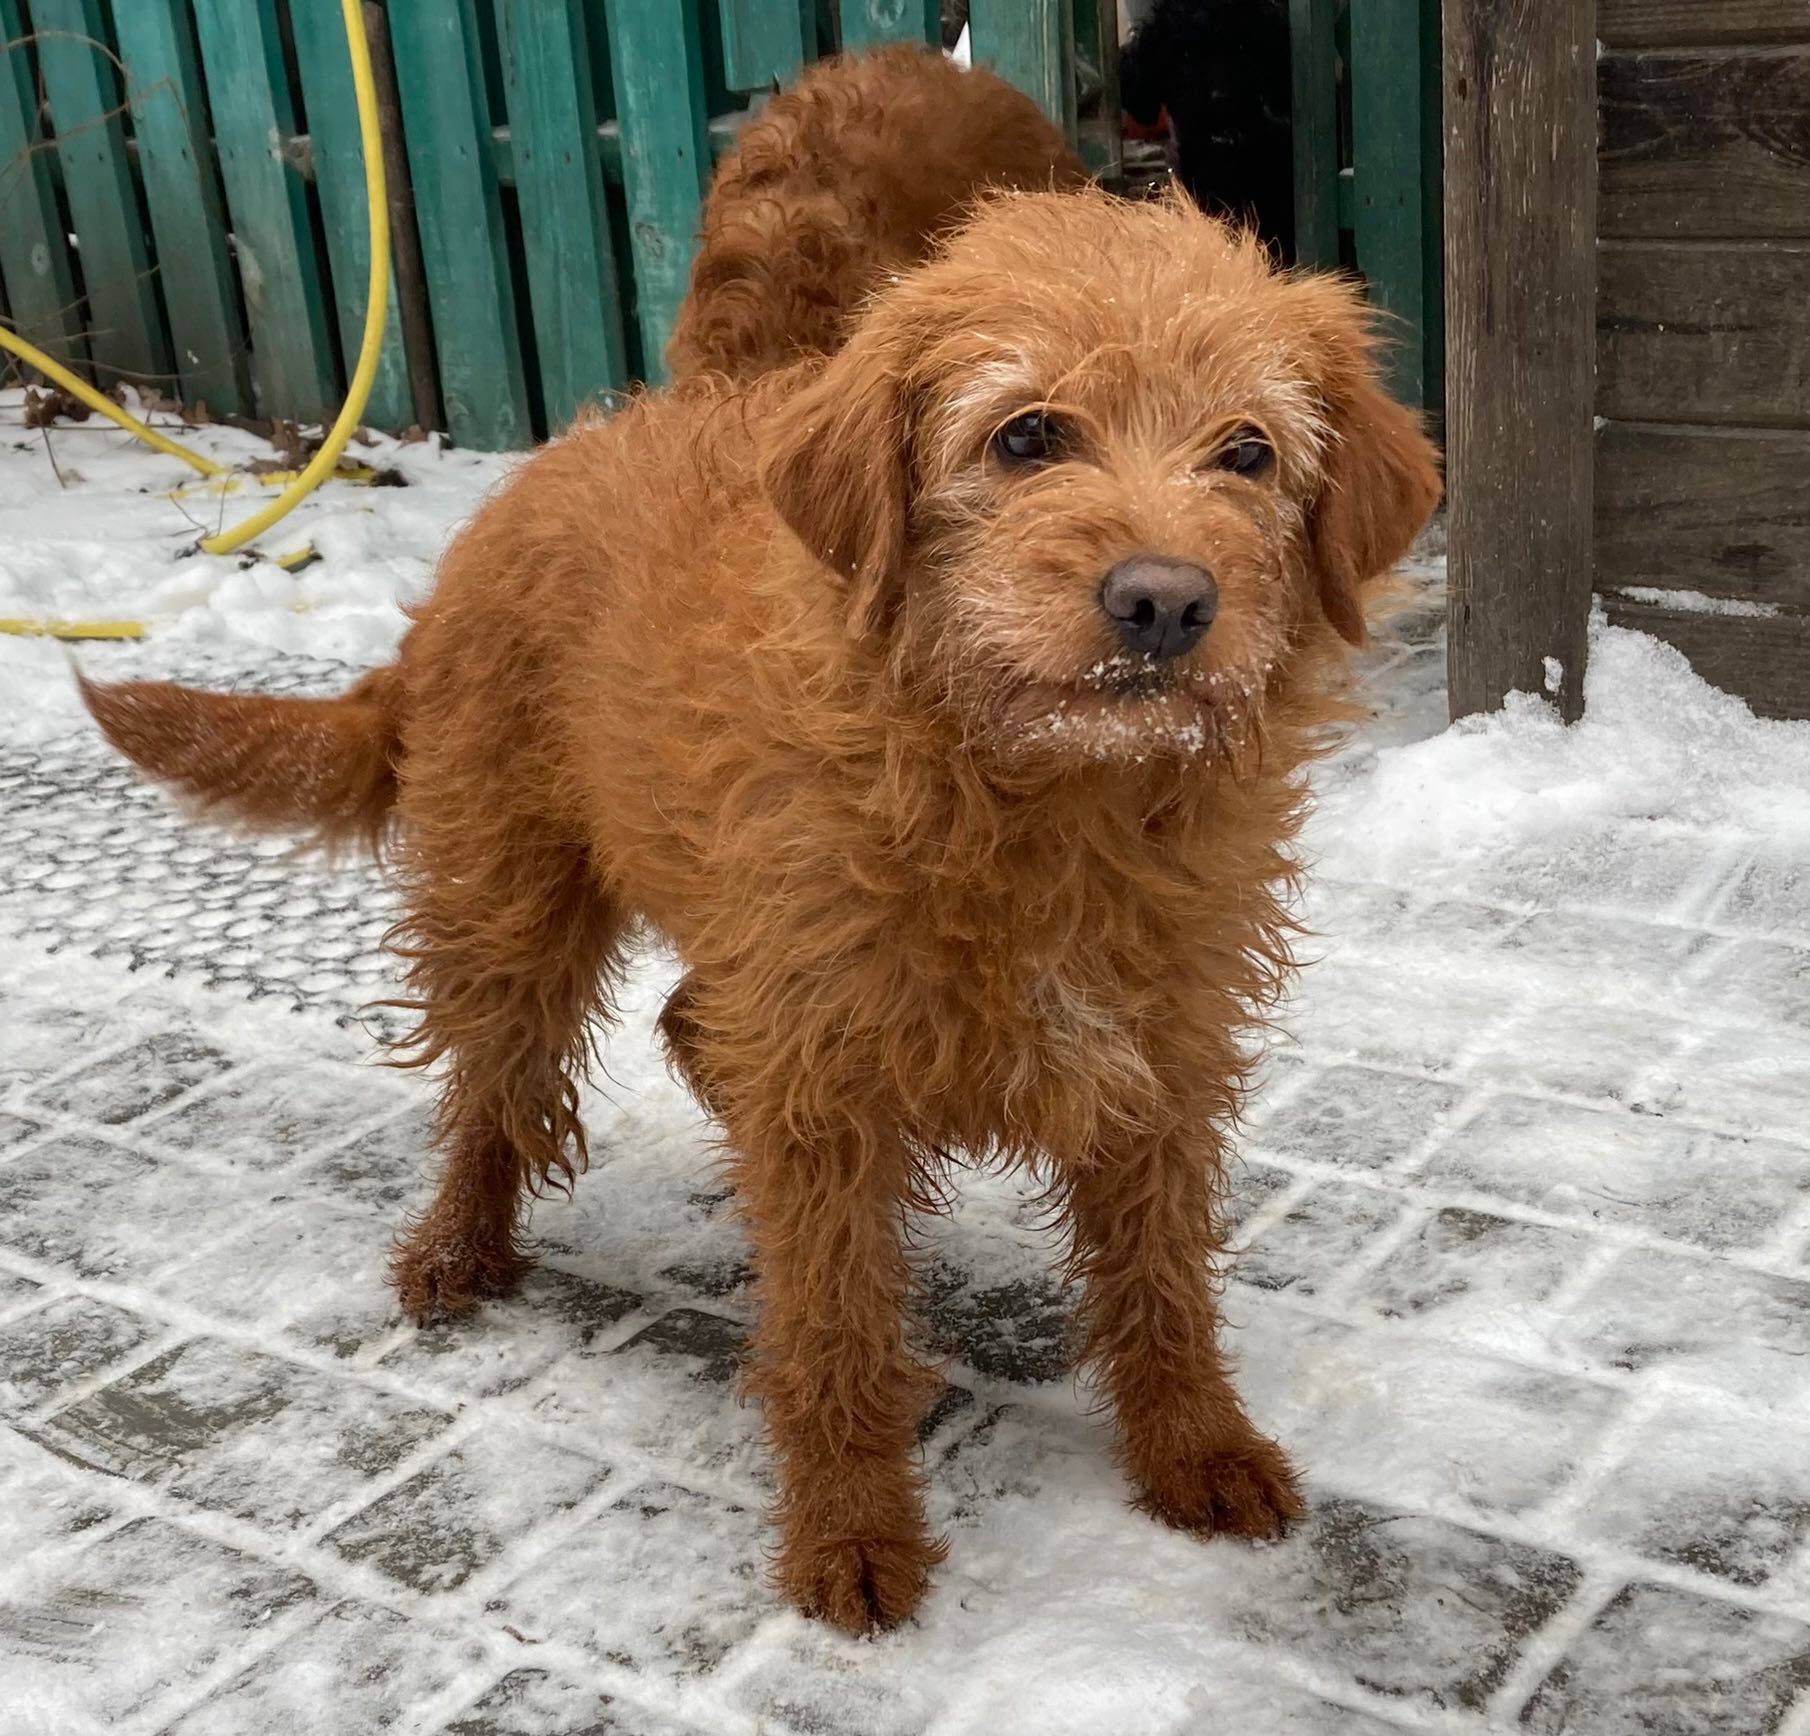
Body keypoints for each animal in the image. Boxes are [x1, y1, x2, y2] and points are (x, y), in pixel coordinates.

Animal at [81, 193, 1440, 1643]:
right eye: (1025, 435)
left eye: (1247, 451)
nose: (1164, 601)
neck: (1042, 802)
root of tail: (519, 489)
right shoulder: (822, 1082)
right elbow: (832, 1320)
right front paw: (851, 1528)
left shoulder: (1159, 1061)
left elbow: (1162, 1279)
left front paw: (1194, 1444)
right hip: (510, 908)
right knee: (496, 1087)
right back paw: (459, 1244)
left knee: (686, 1024)